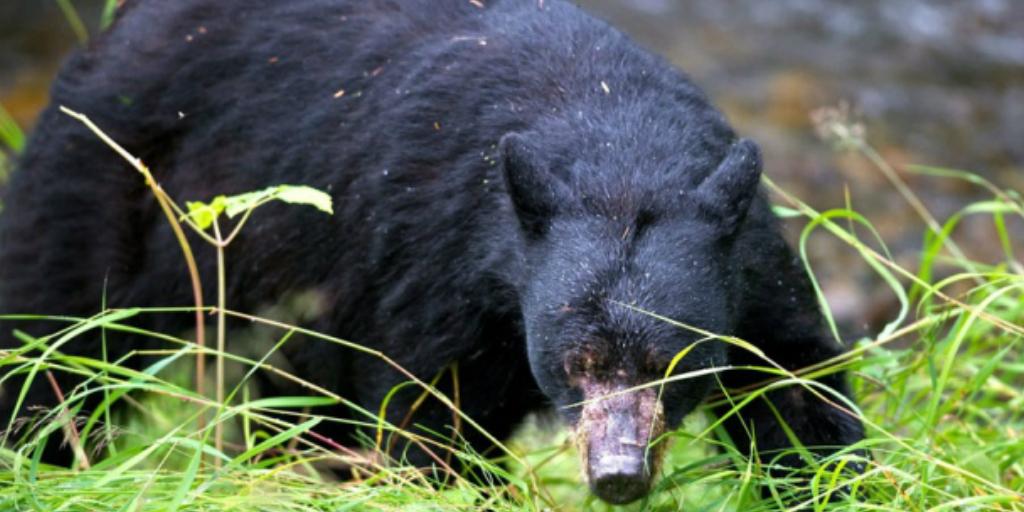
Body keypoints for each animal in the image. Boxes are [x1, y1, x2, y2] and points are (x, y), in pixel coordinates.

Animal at [0, 0, 864, 505]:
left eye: (673, 364)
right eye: (576, 362)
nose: (618, 475)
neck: (616, 140)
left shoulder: (748, 257)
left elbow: (795, 386)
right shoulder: (432, 259)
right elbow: (425, 416)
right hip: (111, 180)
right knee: (54, 339)